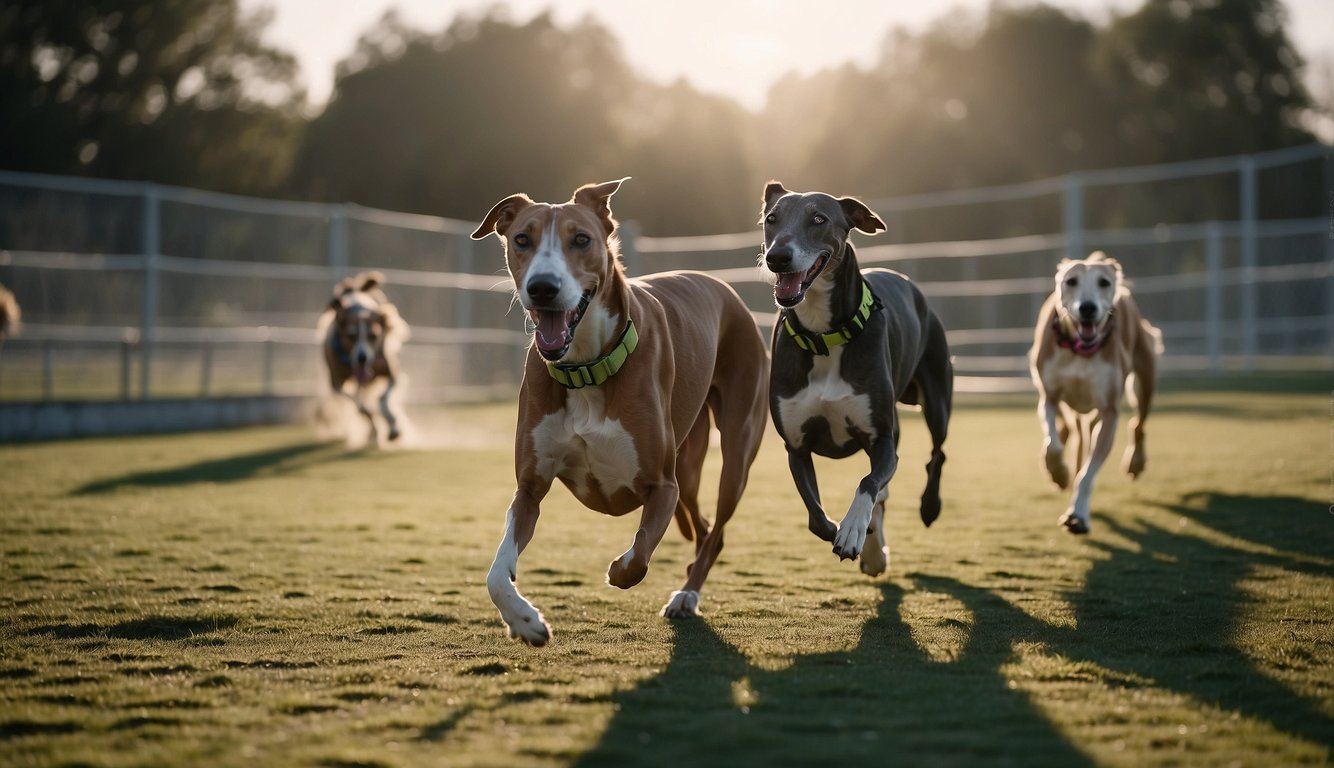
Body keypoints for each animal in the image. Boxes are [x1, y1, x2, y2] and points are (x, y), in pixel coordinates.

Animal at [320, 269, 408, 440]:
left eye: (373, 336)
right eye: (351, 336)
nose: (362, 358)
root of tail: (354, 290)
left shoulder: (391, 371)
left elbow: (383, 399)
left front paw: (393, 424)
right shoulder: (336, 384)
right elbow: (360, 406)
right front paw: (374, 422)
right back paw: (372, 429)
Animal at [469, 178, 768, 642]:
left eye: (581, 239)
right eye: (521, 239)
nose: (542, 287)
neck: (585, 370)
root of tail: (726, 290)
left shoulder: (662, 485)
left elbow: (637, 558)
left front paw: (616, 570)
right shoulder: (529, 488)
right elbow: (497, 573)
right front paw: (524, 620)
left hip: (734, 446)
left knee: (715, 528)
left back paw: (686, 596)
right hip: (689, 465)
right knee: (700, 527)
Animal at [757, 181, 955, 576]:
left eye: (819, 219)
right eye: (771, 219)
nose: (777, 257)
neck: (824, 335)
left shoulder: (881, 439)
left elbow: (869, 482)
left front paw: (851, 532)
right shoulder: (796, 445)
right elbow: (817, 519)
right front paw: (851, 534)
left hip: (937, 394)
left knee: (936, 453)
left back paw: (928, 507)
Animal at [1029, 252, 1157, 533]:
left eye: (1104, 282)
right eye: (1071, 281)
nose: (1087, 307)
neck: (1080, 350)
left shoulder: (1109, 411)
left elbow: (1088, 473)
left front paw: (1077, 515)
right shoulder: (1049, 395)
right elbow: (1052, 442)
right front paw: (1058, 472)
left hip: (1144, 372)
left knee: (1138, 423)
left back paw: (1135, 462)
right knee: (1069, 429)